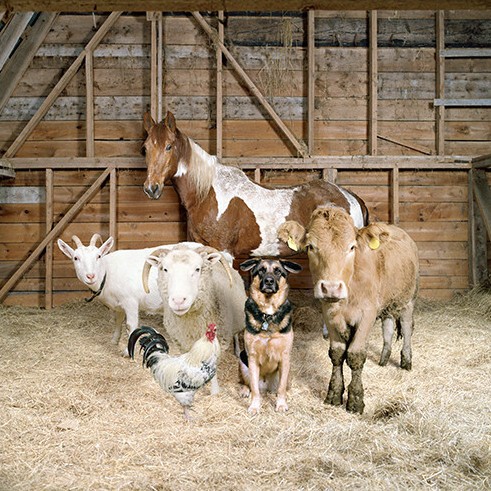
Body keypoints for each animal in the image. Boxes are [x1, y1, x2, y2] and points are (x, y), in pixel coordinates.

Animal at [57, 234, 204, 354]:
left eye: (98, 256)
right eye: (76, 258)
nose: (90, 276)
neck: (107, 272)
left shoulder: (130, 301)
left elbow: (130, 325)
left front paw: (127, 352)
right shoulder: (118, 304)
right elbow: (118, 321)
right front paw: (114, 340)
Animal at [142, 111, 368, 258]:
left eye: (169, 146)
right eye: (145, 148)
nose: (151, 188)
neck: (207, 194)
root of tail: (351, 197)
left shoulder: (224, 252)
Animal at [142, 246, 248, 396]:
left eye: (197, 269)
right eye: (165, 269)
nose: (178, 301)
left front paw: (214, 392)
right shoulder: (180, 342)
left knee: (237, 335)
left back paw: (238, 351)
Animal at [239, 258, 304, 416]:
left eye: (278, 271)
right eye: (261, 270)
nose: (269, 281)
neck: (267, 315)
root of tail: (265, 385)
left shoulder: (285, 357)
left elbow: (281, 388)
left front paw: (281, 404)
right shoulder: (252, 357)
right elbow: (255, 390)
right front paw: (254, 406)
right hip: (242, 361)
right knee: (249, 384)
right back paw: (245, 390)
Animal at [278, 208, 420, 416]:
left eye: (352, 247)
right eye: (311, 247)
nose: (330, 288)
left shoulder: (367, 314)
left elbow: (355, 354)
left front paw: (355, 400)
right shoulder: (329, 313)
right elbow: (337, 353)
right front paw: (334, 394)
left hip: (408, 299)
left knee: (407, 327)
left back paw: (406, 361)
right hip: (386, 303)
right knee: (388, 325)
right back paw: (384, 358)